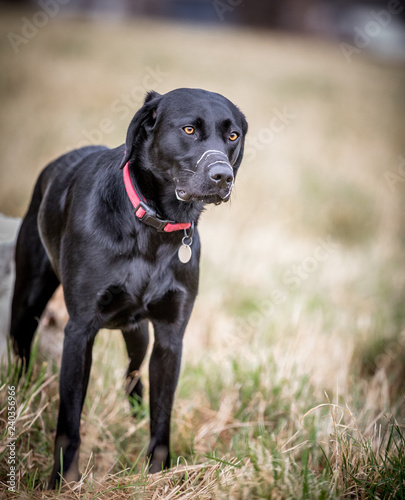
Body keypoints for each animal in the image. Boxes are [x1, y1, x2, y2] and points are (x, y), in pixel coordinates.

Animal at [10, 88, 246, 486]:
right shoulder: (79, 331)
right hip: (27, 301)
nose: (222, 177)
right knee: (21, 351)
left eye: (232, 136)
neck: (153, 228)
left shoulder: (169, 338)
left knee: (133, 375)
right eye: (188, 129)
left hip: (138, 334)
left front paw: (158, 476)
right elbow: (69, 422)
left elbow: (161, 416)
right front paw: (63, 481)